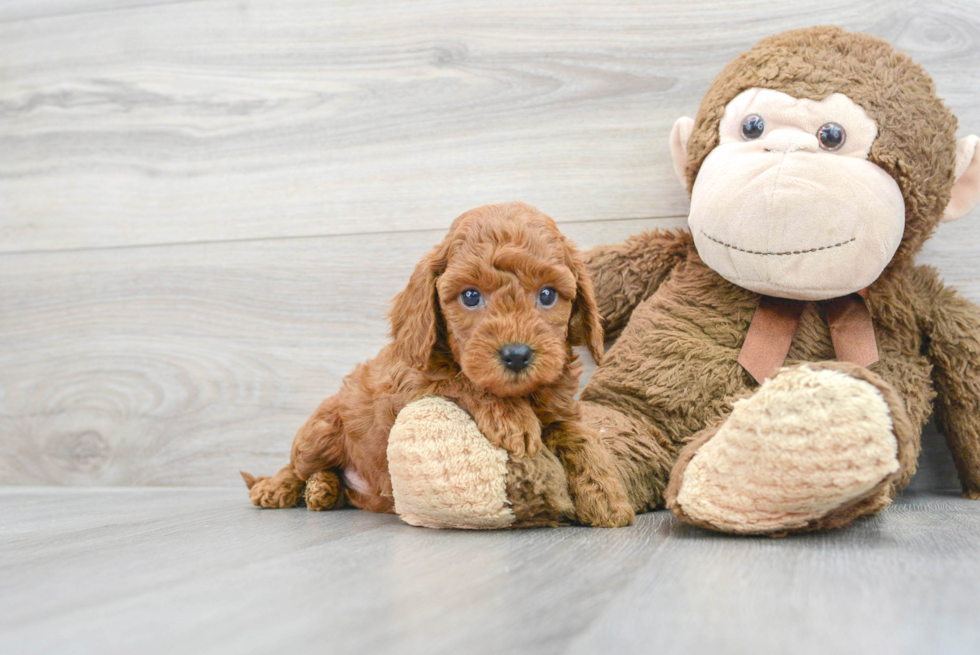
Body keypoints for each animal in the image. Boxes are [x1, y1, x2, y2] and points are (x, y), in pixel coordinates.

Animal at [241, 200, 632, 528]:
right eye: (471, 296)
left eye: (548, 295)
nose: (517, 354)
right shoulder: (411, 385)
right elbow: (460, 381)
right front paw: (511, 418)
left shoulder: (560, 410)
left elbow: (579, 436)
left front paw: (607, 495)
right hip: (322, 431)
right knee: (296, 464)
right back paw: (277, 488)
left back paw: (323, 491)